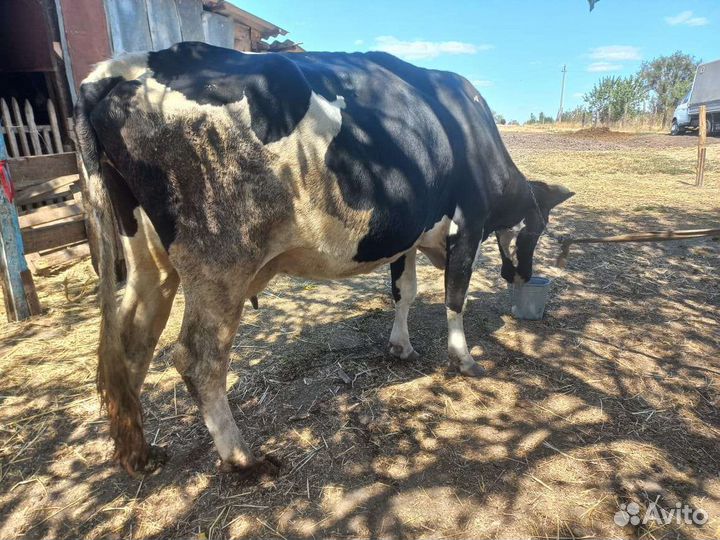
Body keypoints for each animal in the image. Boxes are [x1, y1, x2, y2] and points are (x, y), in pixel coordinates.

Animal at [74, 42, 573, 477]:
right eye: (539, 229)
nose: (523, 274)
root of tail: (113, 72)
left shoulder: (406, 237)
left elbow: (404, 291)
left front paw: (401, 346)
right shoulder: (467, 224)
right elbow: (455, 297)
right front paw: (463, 359)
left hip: (149, 261)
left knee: (132, 342)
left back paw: (142, 454)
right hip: (221, 262)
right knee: (199, 358)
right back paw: (243, 460)